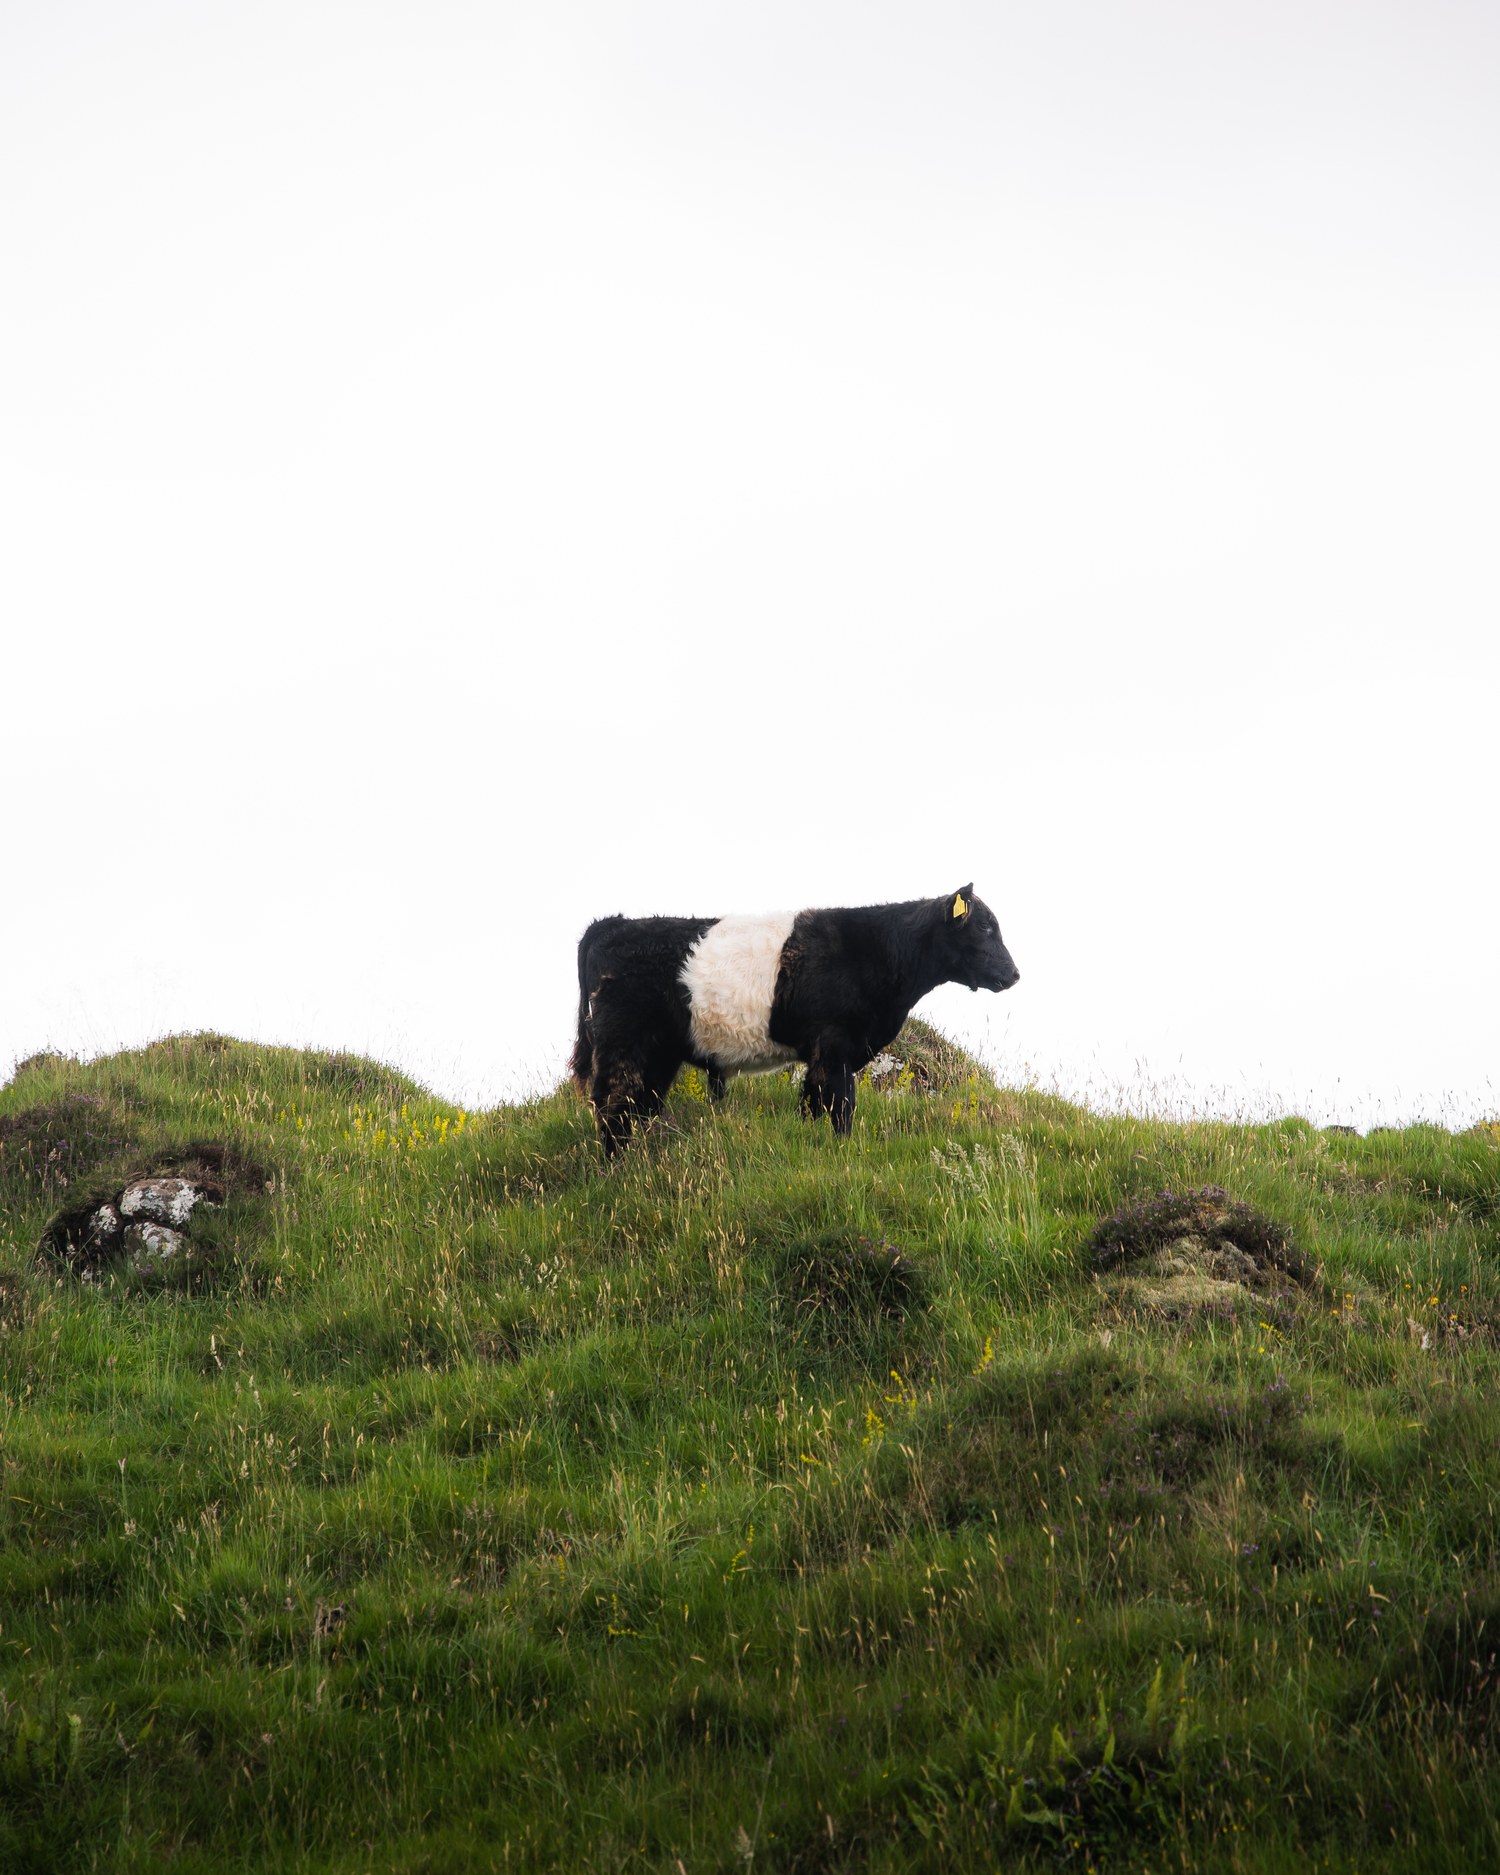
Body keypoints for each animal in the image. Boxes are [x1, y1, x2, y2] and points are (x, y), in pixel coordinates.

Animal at [569, 886, 1019, 1156]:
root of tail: (613, 923)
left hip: (660, 1052)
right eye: (984, 926)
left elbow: (811, 1106)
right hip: (622, 1042)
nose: (1014, 974)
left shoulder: (824, 1054)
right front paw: (843, 1155)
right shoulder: (835, 1046)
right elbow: (841, 1108)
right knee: (611, 1104)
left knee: (640, 1106)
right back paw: (617, 1167)